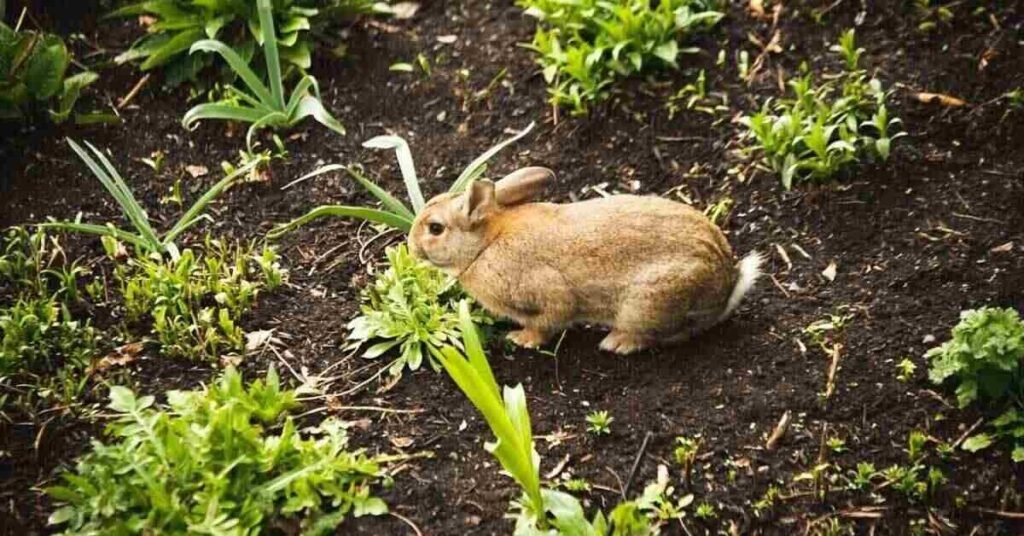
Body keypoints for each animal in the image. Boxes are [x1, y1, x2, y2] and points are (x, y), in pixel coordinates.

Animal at [407, 167, 763, 355]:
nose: (410, 247)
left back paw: (615, 343)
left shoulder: (547, 292)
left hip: (648, 302)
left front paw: (521, 340)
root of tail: (725, 288)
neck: (485, 244)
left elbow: (549, 320)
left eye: (435, 228)